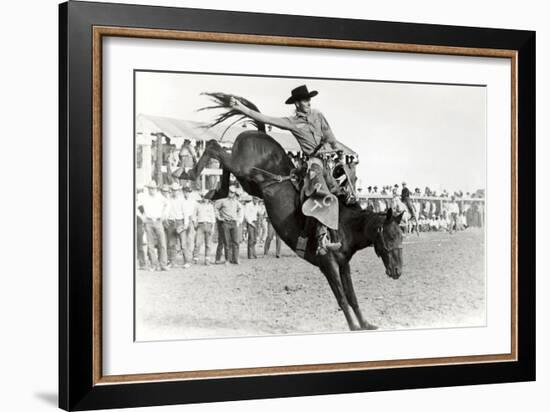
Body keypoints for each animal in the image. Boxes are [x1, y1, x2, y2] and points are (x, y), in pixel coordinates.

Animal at [177, 93, 406, 332]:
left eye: (401, 236)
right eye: (390, 236)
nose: (398, 271)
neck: (344, 225)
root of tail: (259, 132)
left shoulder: (344, 265)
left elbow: (352, 297)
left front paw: (365, 324)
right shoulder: (329, 264)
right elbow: (342, 298)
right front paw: (354, 326)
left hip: (248, 181)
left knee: (223, 165)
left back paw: (215, 191)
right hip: (242, 168)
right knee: (214, 147)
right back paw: (188, 173)